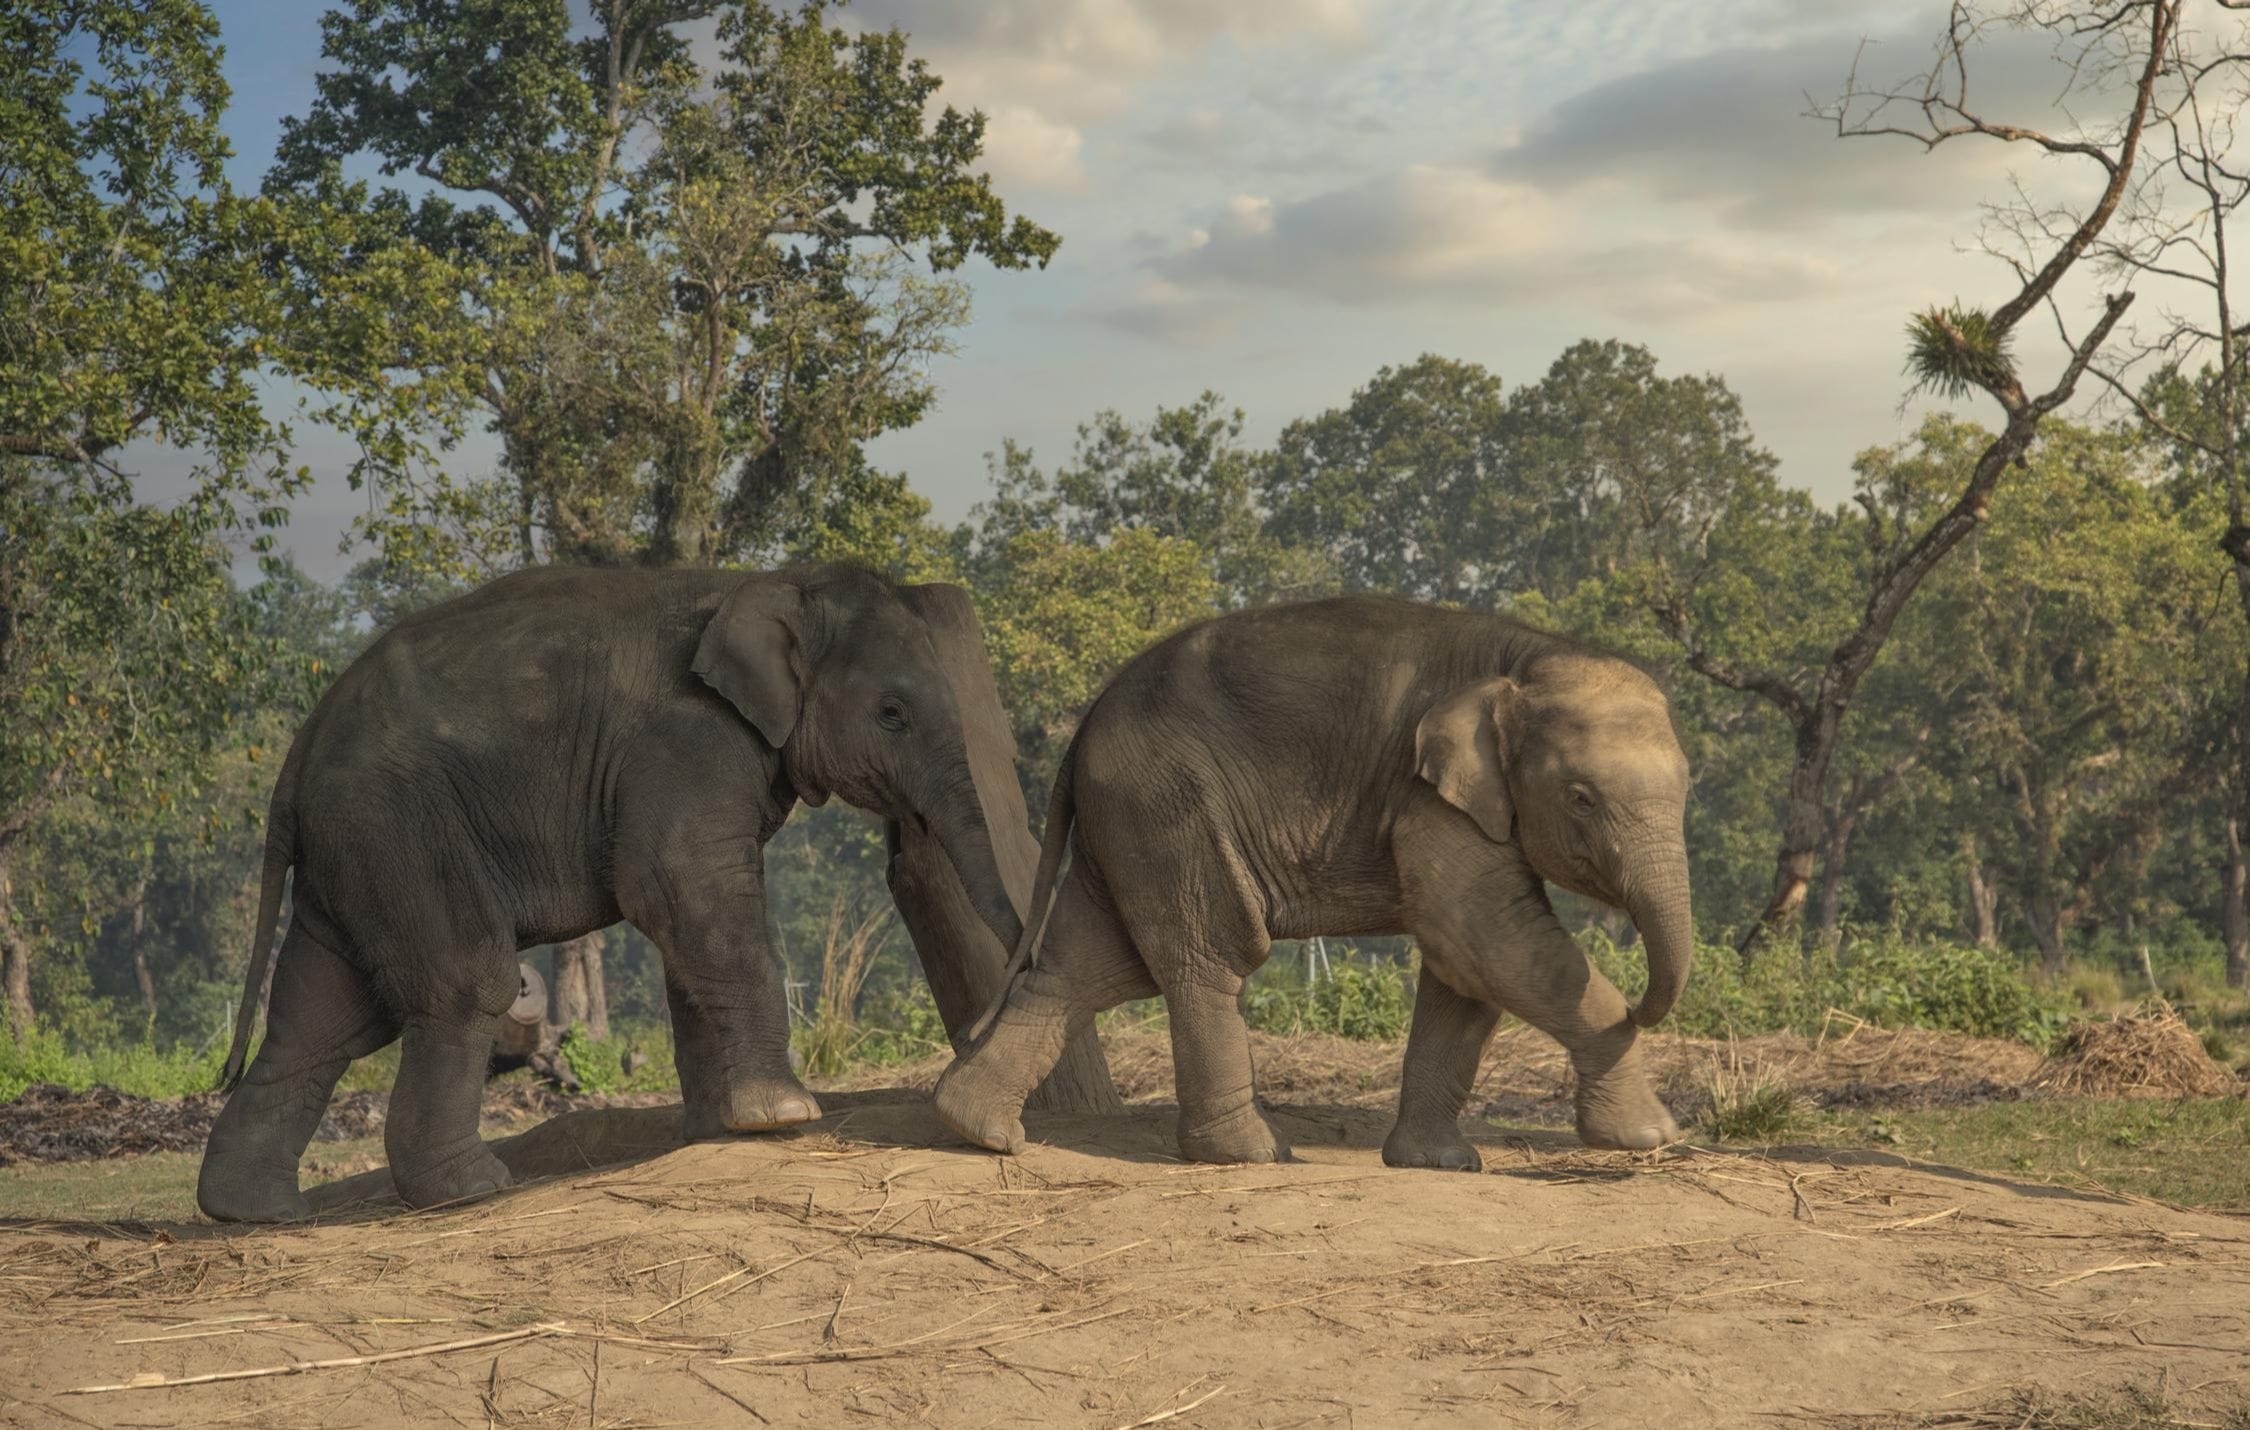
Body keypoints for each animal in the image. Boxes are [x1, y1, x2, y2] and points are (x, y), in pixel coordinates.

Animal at [197, 561, 1098, 1222]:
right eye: (892, 712)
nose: (973, 1033)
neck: (771, 580)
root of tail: (299, 750)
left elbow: (689, 921)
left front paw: (721, 1130)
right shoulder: (687, 737)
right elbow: (683, 886)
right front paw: (784, 1116)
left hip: (354, 852)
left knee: (322, 1016)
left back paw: (254, 1213)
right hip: (399, 828)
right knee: (461, 982)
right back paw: (471, 1190)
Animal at [933, 594, 1695, 1169]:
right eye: (1581, 799)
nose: (1643, 1005)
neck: (1525, 658)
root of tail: (1087, 720)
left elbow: (1465, 965)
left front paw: (1439, 1162)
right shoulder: (1426, 796)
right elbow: (1483, 933)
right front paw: (1647, 1136)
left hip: (1125, 823)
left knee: (1087, 966)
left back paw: (977, 1128)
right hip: (1168, 806)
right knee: (1208, 956)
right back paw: (1253, 1155)